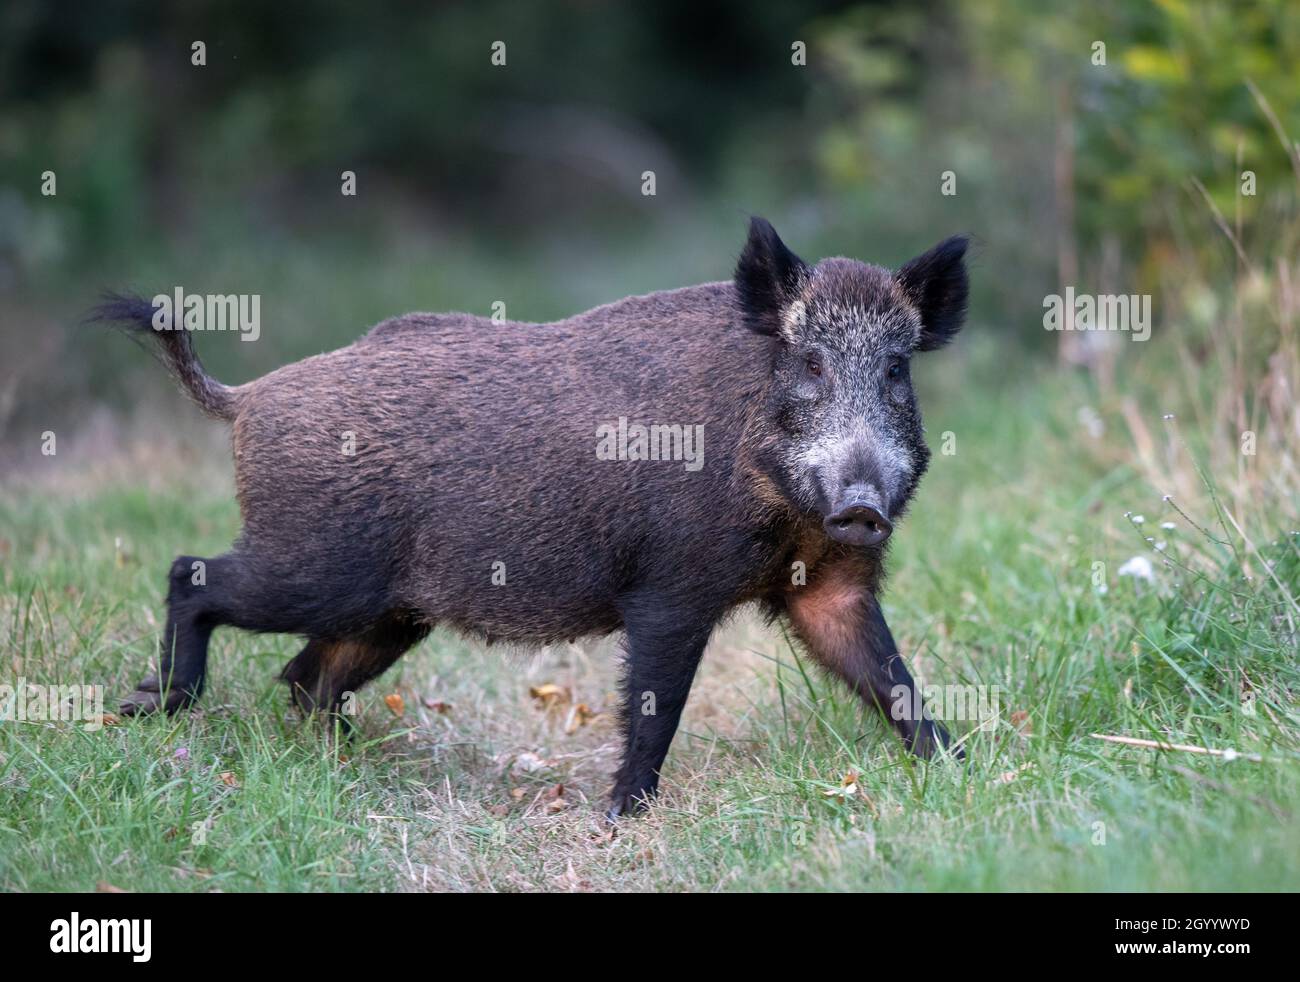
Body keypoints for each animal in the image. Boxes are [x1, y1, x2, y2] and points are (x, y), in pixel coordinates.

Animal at [94, 218, 969, 817]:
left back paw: (344, 764)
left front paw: (965, 767)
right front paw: (624, 816)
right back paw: (151, 707)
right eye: (811, 363)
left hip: (387, 611)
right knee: (193, 577)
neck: (789, 513)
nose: (862, 506)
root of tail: (245, 399)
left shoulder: (831, 587)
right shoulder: (670, 589)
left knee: (306, 679)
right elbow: (655, 704)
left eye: (896, 370)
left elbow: (892, 679)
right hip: (315, 565)